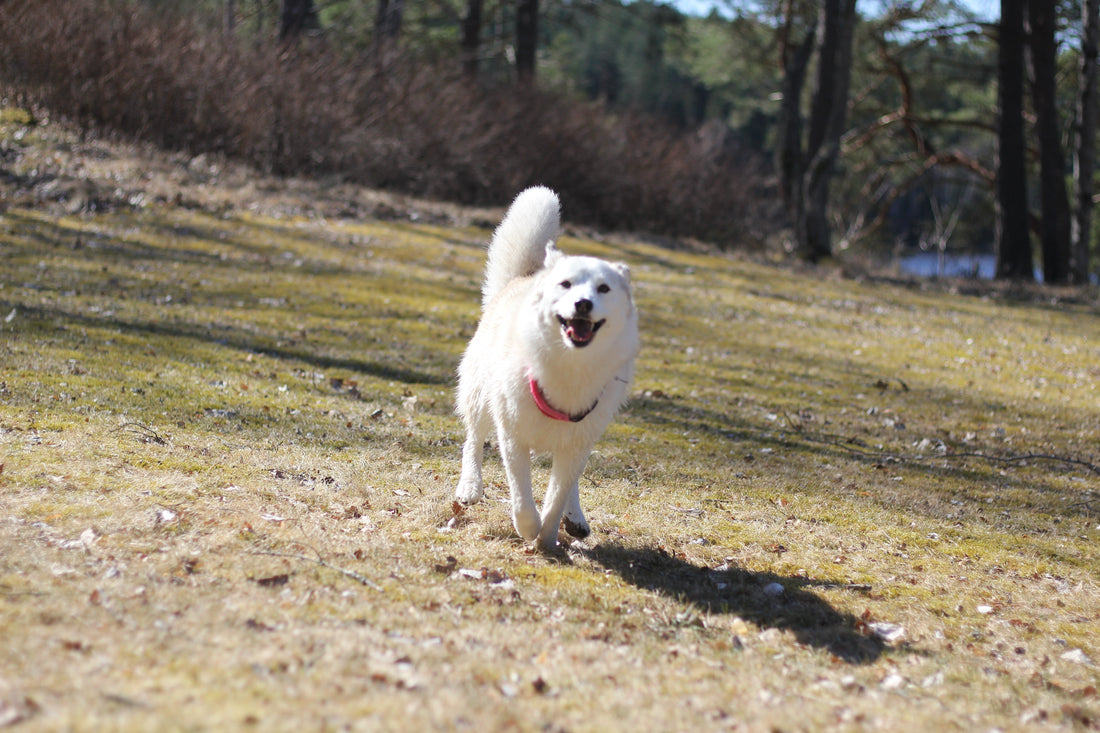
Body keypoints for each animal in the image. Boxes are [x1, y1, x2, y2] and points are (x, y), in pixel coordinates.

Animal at [453, 187, 642, 548]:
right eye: (566, 284)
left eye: (604, 288)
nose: (583, 304)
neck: (568, 364)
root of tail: (524, 276)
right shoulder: (513, 436)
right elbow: (522, 497)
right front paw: (529, 529)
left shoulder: (577, 442)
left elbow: (556, 497)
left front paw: (548, 539)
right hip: (480, 395)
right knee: (474, 439)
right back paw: (469, 486)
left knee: (571, 482)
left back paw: (575, 517)